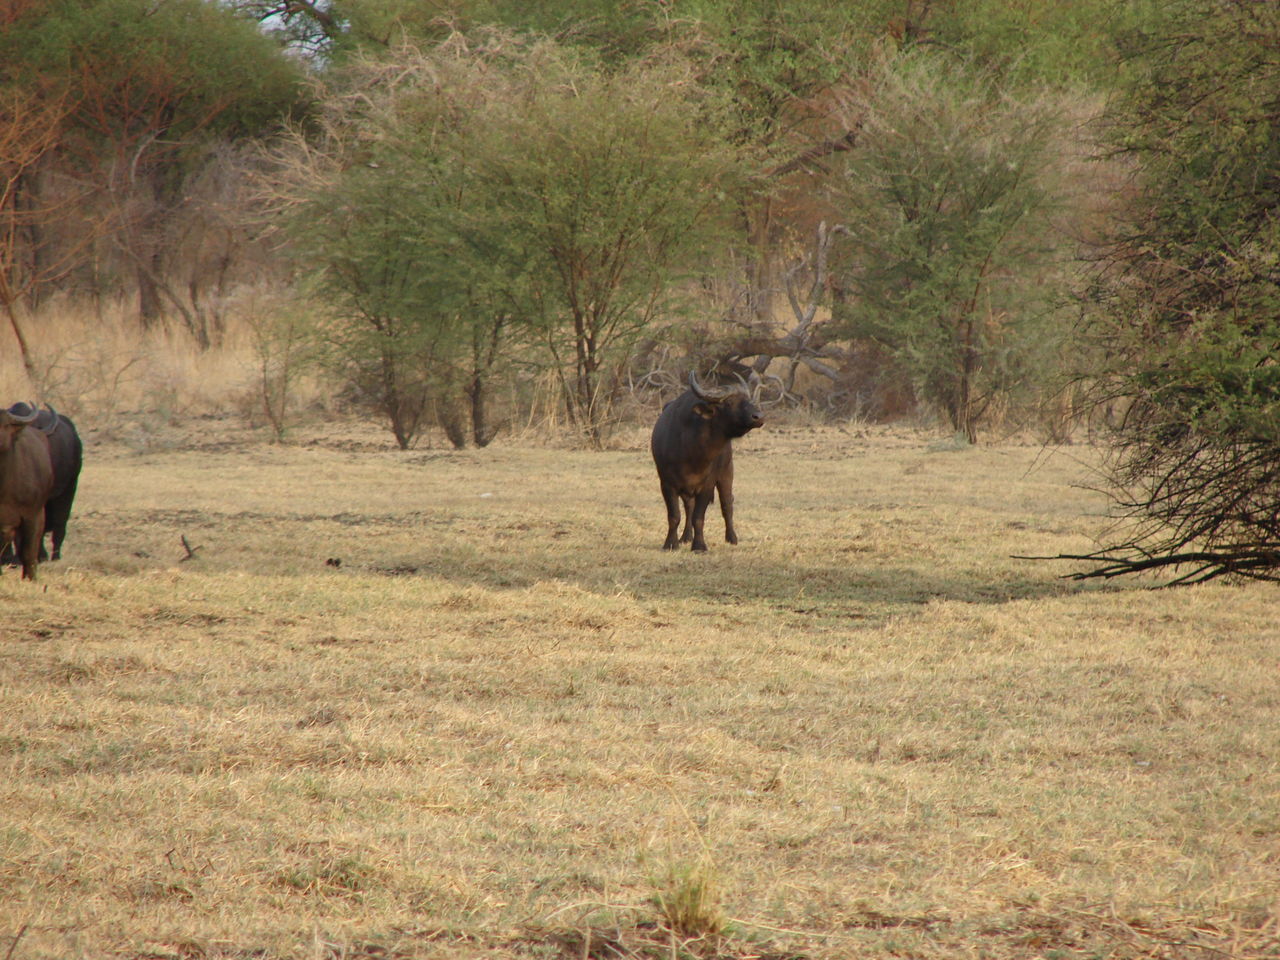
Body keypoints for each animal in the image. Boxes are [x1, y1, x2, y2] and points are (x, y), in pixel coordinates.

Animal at [650, 371, 757, 552]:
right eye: (729, 402)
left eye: (747, 399)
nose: (758, 416)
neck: (693, 452)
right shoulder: (666, 484)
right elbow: (674, 515)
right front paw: (671, 543)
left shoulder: (707, 485)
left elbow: (699, 517)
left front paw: (699, 545)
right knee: (689, 506)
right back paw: (686, 536)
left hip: (727, 473)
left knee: (727, 504)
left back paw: (732, 537)